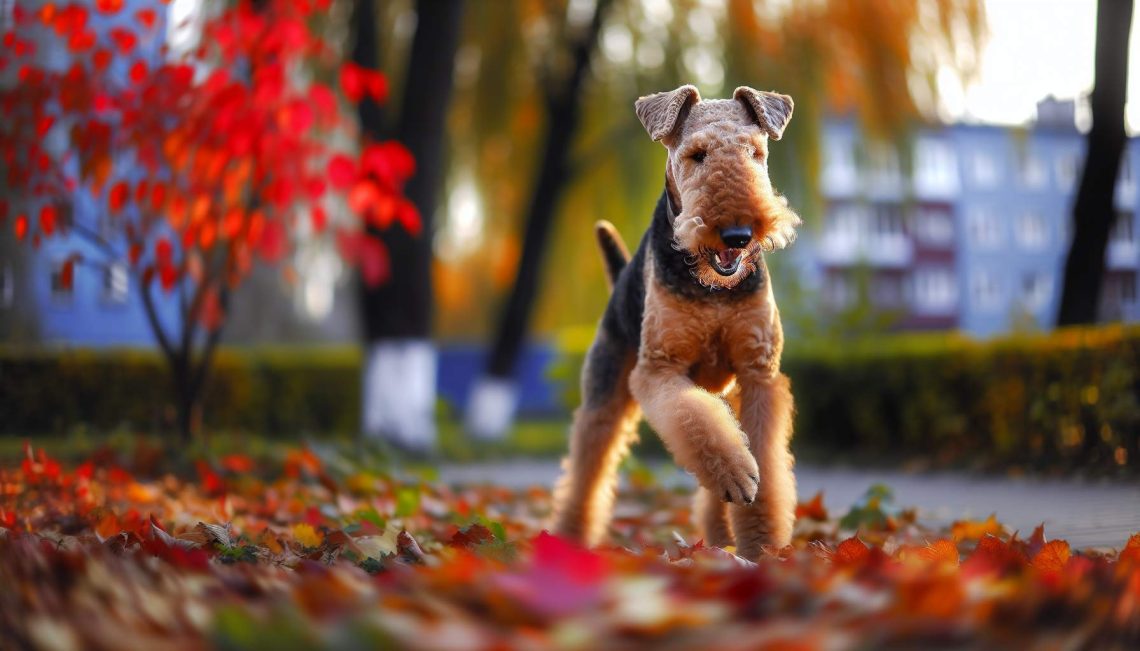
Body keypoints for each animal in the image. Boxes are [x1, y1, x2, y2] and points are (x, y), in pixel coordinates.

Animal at [551, 82, 802, 560]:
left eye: (756, 152)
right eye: (697, 154)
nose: (738, 235)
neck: (713, 289)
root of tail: (620, 278)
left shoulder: (757, 371)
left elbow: (762, 458)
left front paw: (761, 545)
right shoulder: (659, 368)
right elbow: (693, 421)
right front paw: (736, 478)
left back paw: (721, 539)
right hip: (606, 393)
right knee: (587, 469)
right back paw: (567, 539)